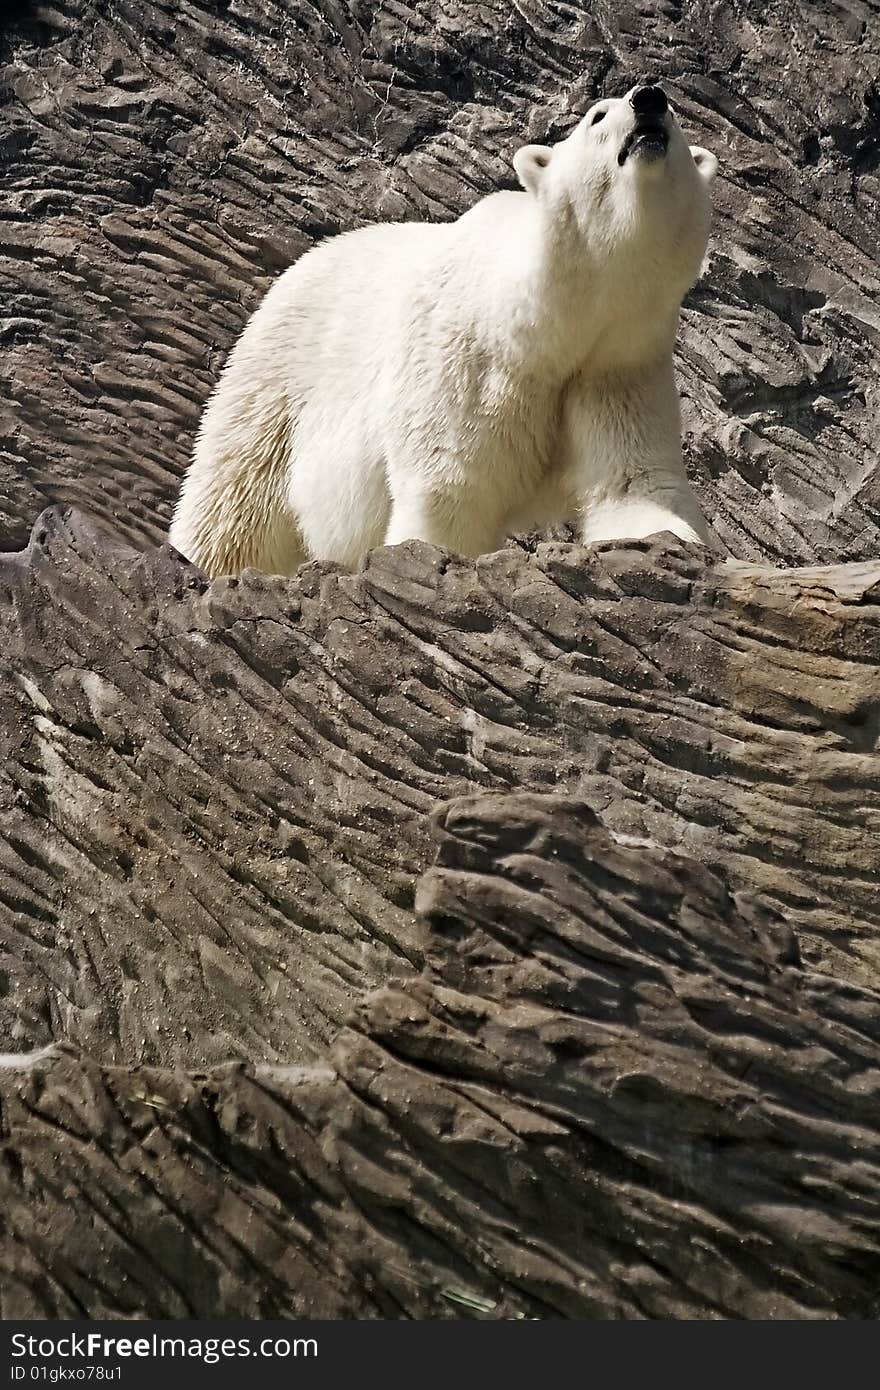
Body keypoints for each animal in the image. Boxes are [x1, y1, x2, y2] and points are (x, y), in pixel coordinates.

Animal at [168, 81, 717, 575]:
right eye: (597, 116)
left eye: (675, 115)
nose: (649, 99)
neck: (551, 327)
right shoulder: (467, 363)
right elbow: (452, 484)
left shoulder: (616, 369)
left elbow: (631, 482)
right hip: (277, 381)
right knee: (234, 499)